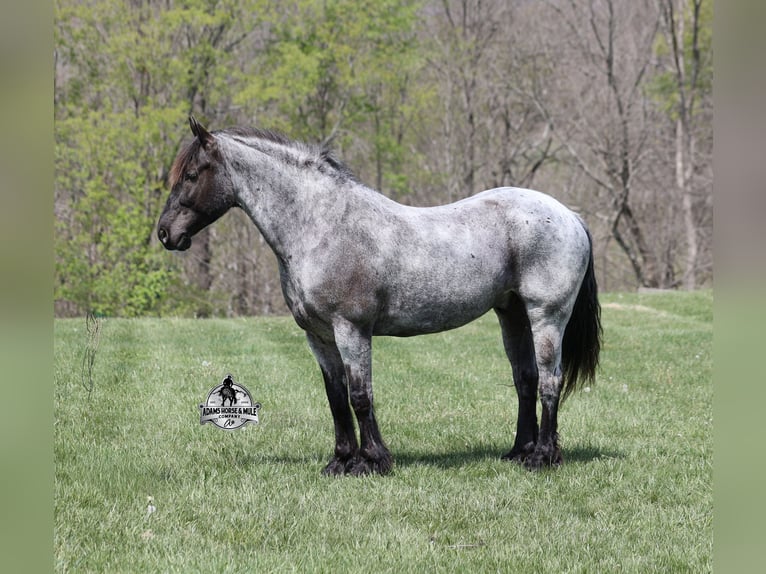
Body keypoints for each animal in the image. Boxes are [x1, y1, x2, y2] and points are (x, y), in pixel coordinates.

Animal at [158, 116, 601, 476]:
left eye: (192, 175)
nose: (165, 233)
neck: (321, 226)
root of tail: (570, 216)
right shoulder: (318, 336)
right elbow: (336, 398)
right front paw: (340, 461)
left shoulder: (351, 329)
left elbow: (360, 396)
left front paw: (372, 461)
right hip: (512, 314)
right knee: (525, 379)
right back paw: (518, 452)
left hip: (546, 316)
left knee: (549, 380)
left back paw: (543, 457)